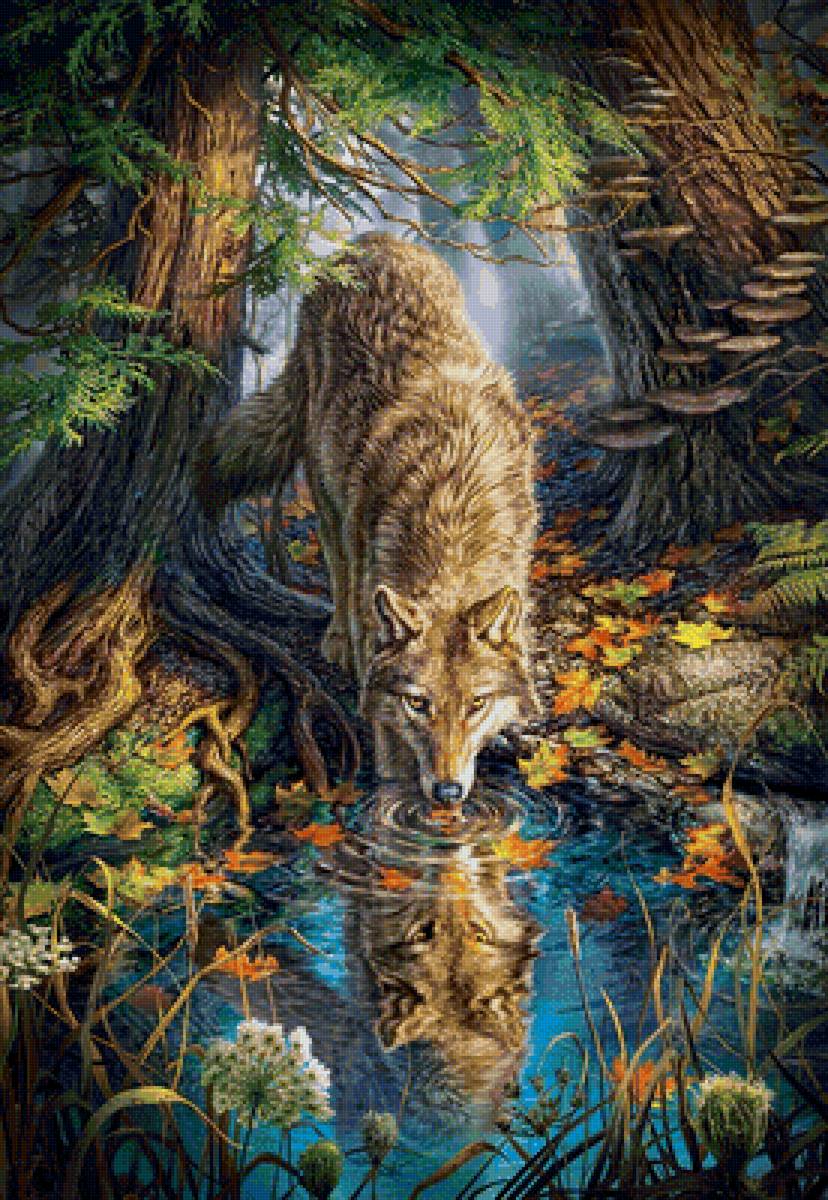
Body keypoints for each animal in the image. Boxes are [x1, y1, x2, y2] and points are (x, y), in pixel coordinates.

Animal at [199, 233, 539, 802]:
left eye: (476, 705)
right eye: (418, 704)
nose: (448, 792)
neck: (451, 510)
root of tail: (367, 241)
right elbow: (386, 738)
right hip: (327, 495)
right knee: (337, 572)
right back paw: (334, 636)